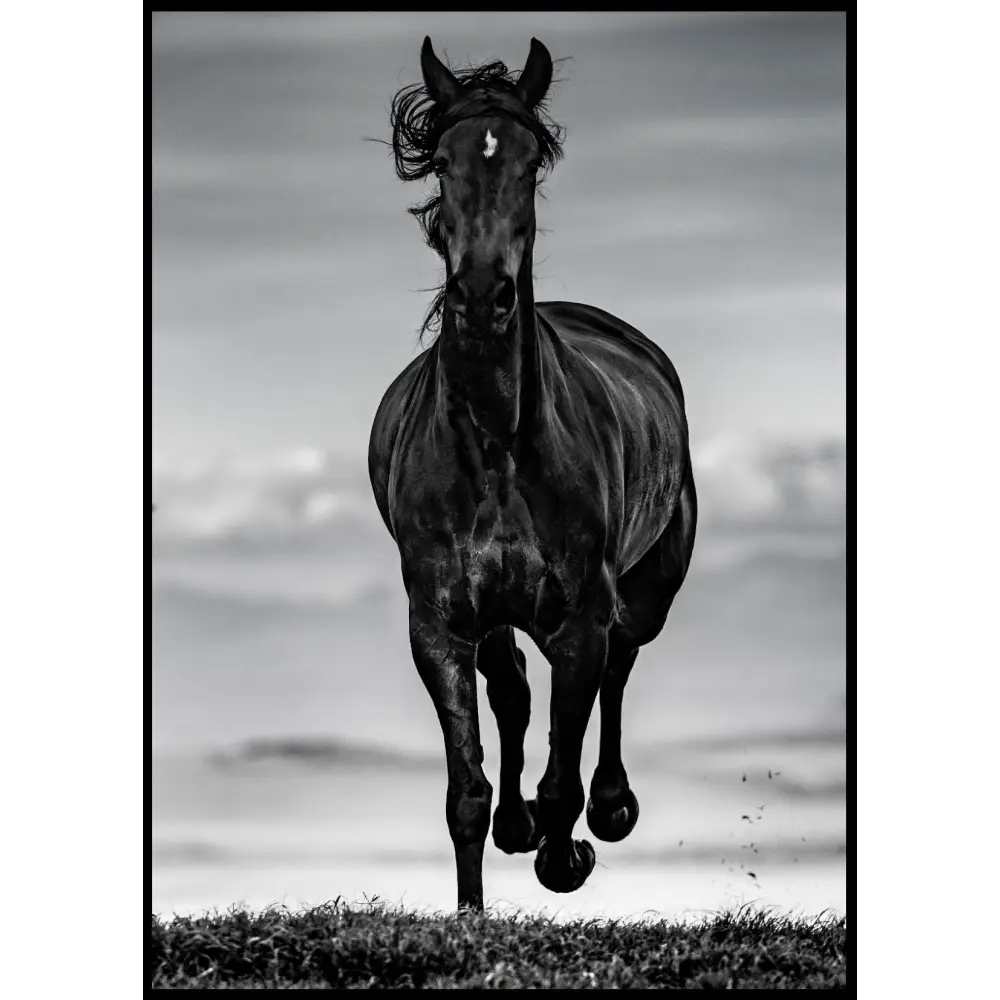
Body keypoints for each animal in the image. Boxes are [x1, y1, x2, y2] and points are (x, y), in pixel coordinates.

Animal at [368, 36, 697, 912]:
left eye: (528, 165)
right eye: (442, 160)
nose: (484, 296)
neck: (494, 446)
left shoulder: (580, 617)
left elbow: (564, 765)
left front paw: (566, 855)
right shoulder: (439, 622)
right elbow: (468, 790)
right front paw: (472, 911)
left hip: (648, 588)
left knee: (621, 662)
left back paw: (609, 811)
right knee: (512, 687)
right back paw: (521, 829)